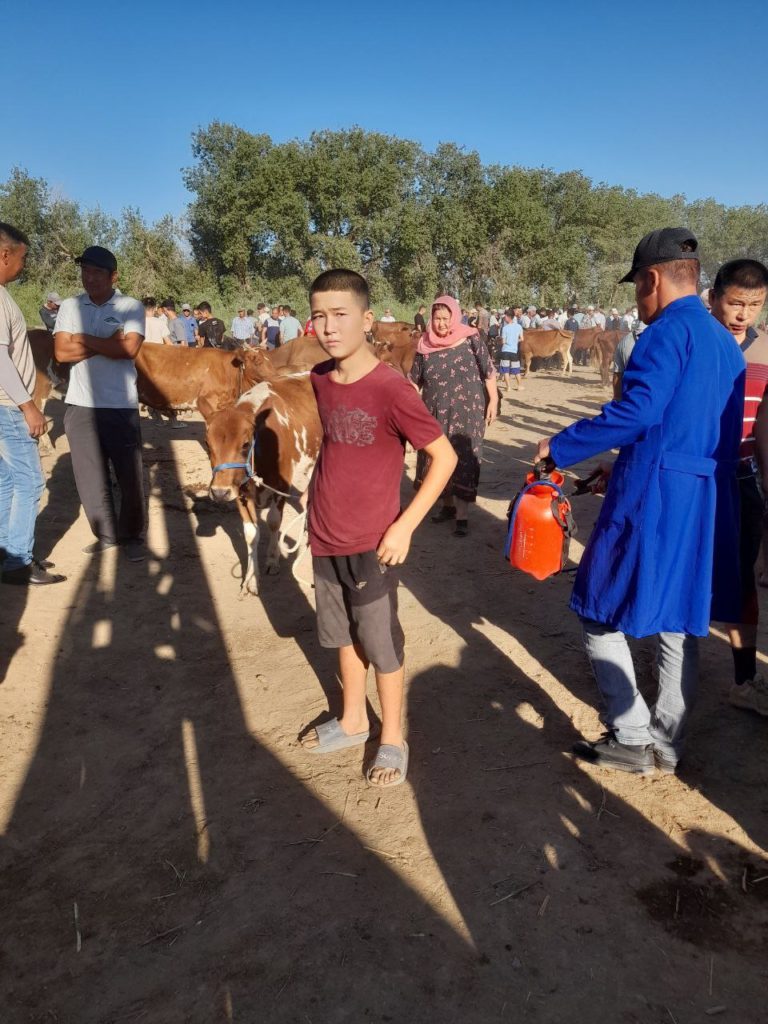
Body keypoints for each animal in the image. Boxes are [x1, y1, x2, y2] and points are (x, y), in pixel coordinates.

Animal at [206, 373, 322, 595]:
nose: (219, 492)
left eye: (245, 444)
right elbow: (251, 533)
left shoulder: (282, 487)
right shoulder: (240, 491)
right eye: (208, 444)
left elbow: (274, 522)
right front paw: (251, 579)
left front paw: (273, 560)